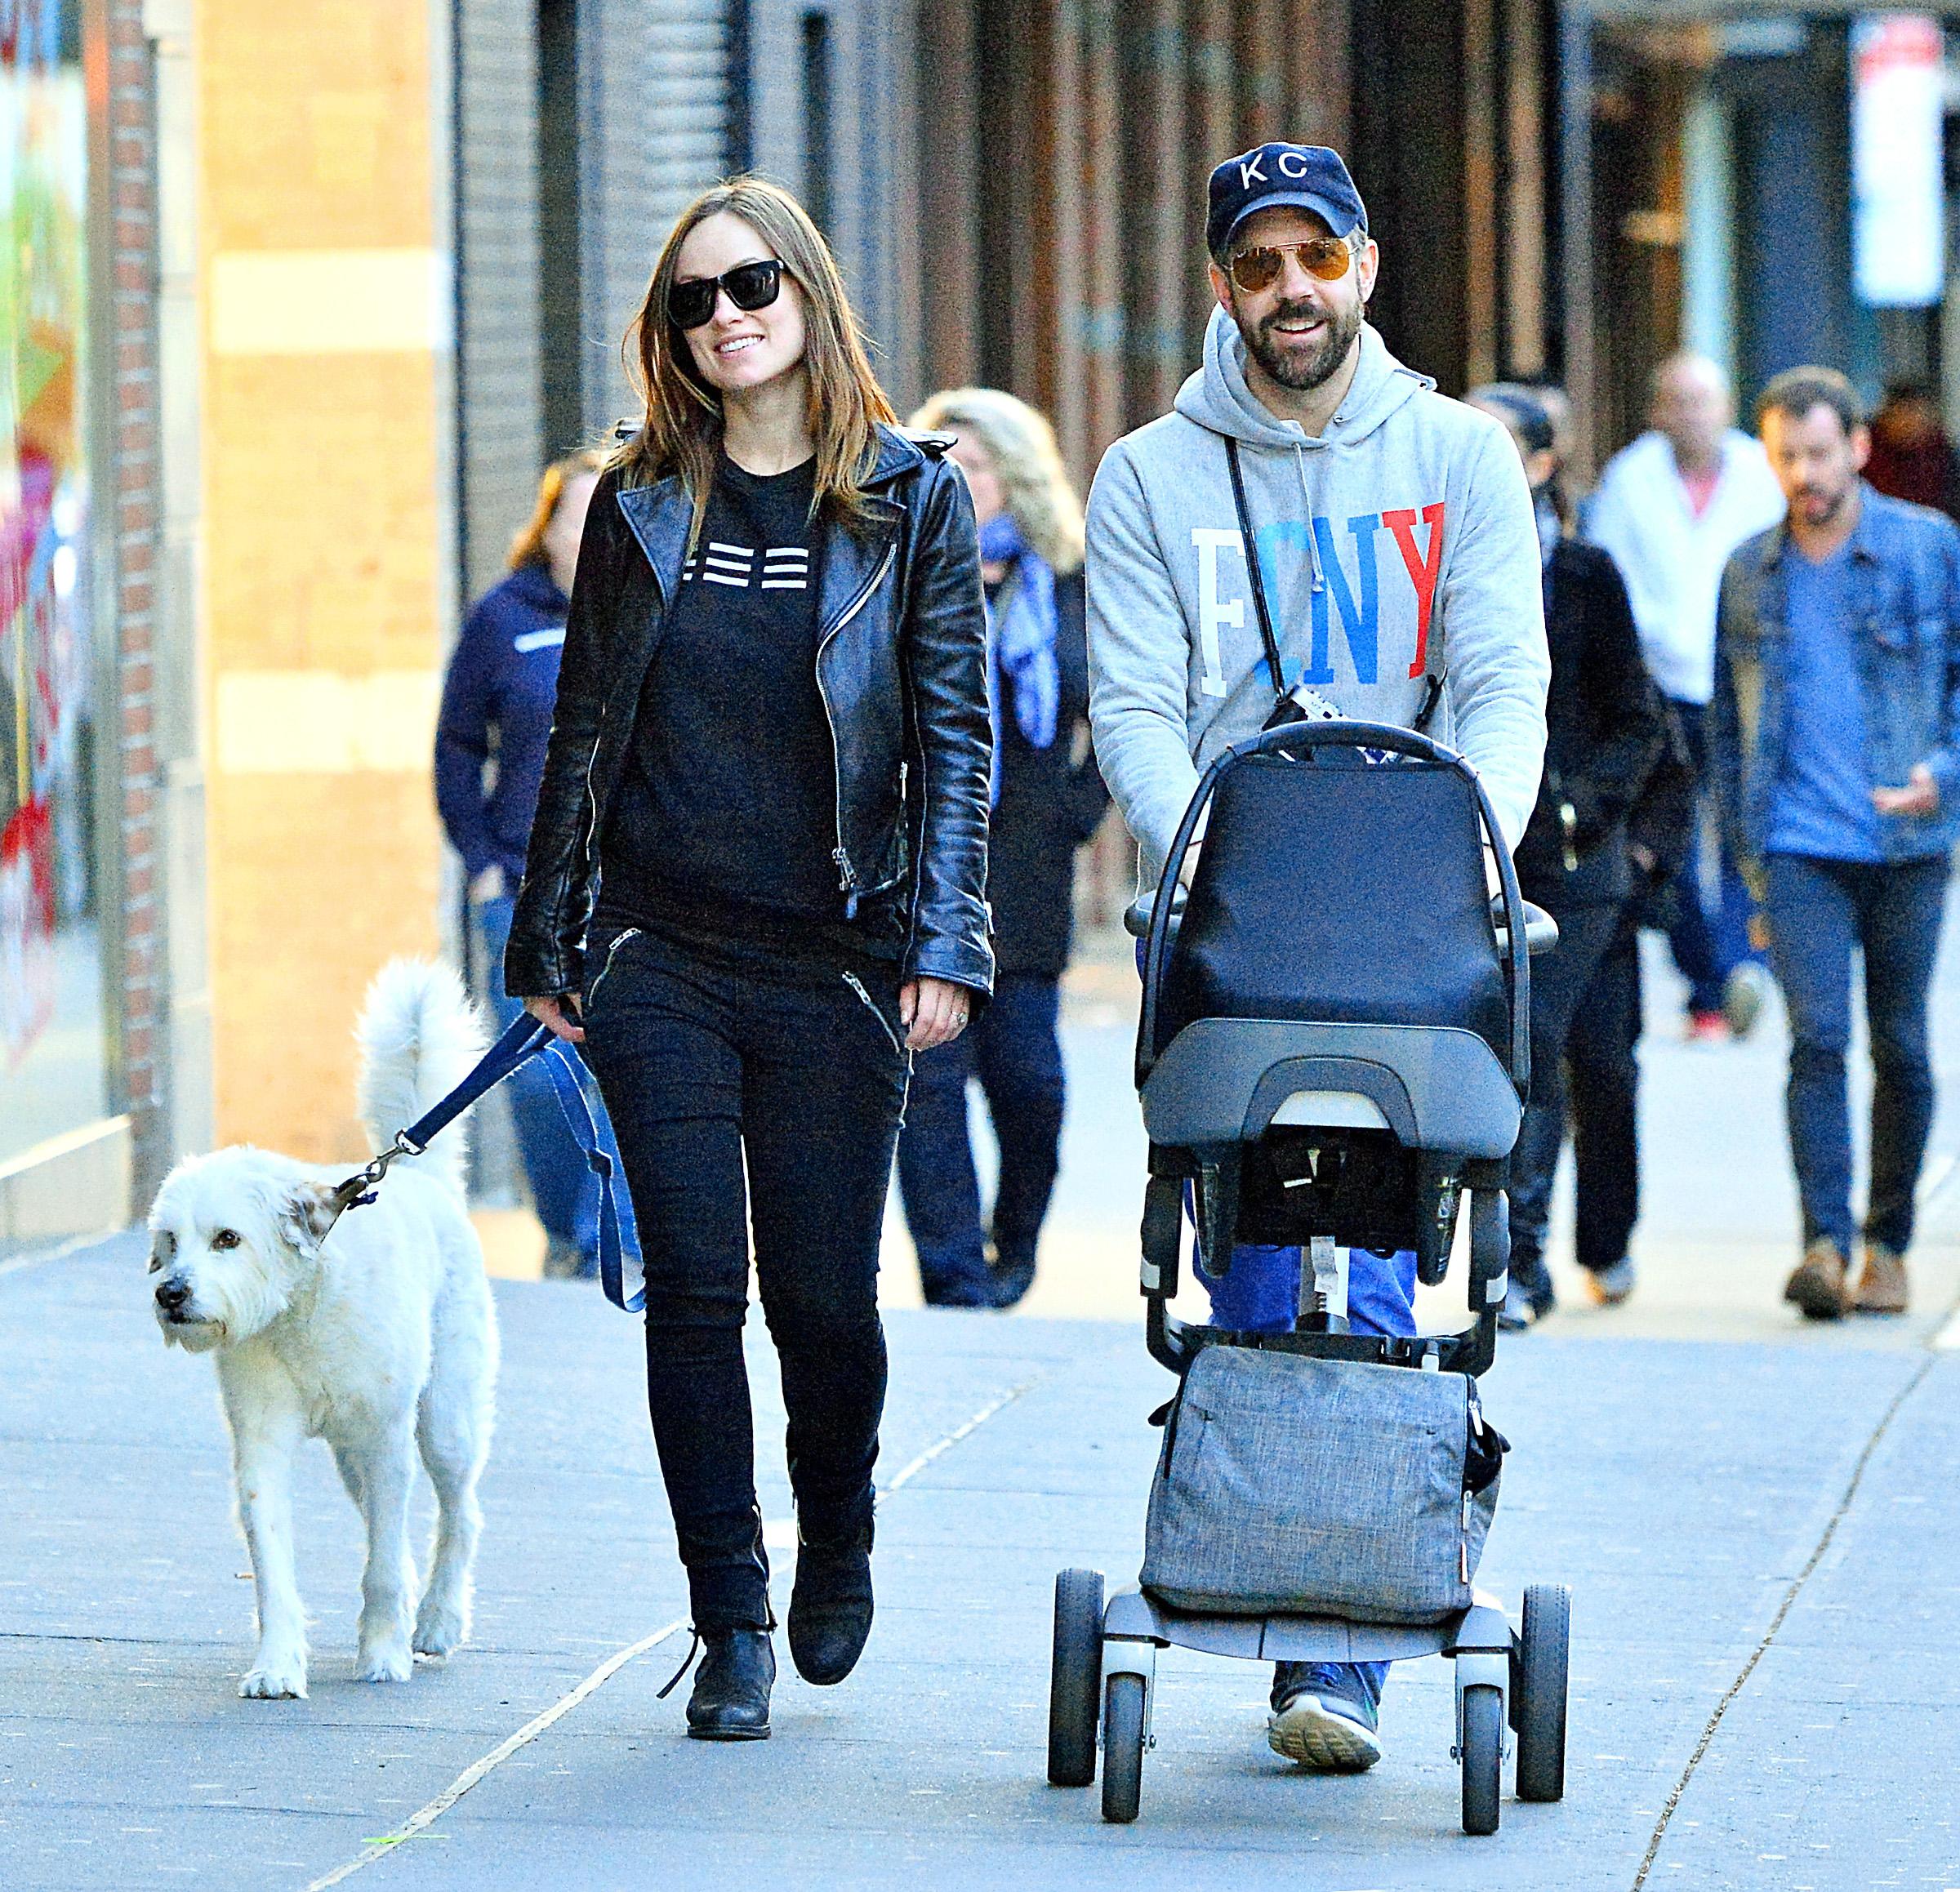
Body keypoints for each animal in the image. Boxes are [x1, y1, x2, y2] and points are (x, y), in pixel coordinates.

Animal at [145, 960, 497, 1702]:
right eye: (169, 1240)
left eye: (228, 1238)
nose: (171, 1293)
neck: (300, 1314)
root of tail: (421, 1180)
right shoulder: (262, 1447)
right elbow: (274, 1569)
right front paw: (277, 1665)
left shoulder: (387, 1440)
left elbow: (384, 1565)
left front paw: (384, 1654)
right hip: (350, 1460)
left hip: (443, 1421)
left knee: (458, 1513)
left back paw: (437, 1619)